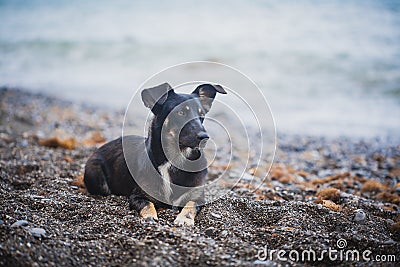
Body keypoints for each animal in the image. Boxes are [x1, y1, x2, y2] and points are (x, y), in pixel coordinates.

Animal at [83, 83, 227, 226]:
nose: (205, 137)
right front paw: (150, 218)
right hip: (96, 176)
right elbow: (148, 205)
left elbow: (190, 204)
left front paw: (184, 219)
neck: (174, 159)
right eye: (180, 112)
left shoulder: (197, 196)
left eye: (201, 114)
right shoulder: (138, 196)